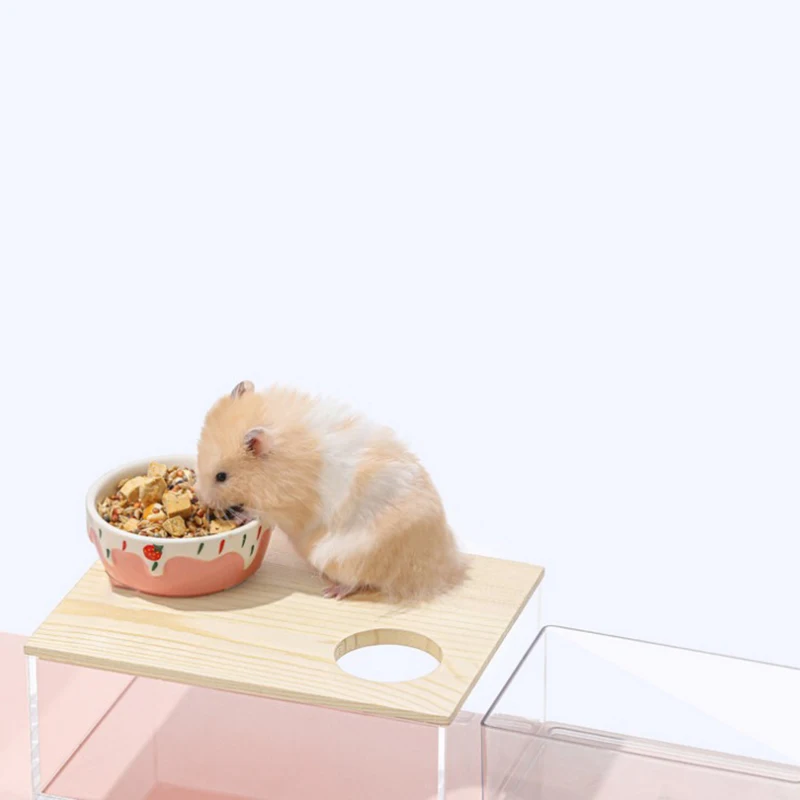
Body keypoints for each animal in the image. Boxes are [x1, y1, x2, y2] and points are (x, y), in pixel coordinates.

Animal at [196, 380, 466, 602]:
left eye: (222, 476)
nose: (202, 499)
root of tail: (434, 569)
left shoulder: (287, 508)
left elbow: (261, 513)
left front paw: (241, 515)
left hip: (342, 555)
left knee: (357, 581)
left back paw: (331, 592)